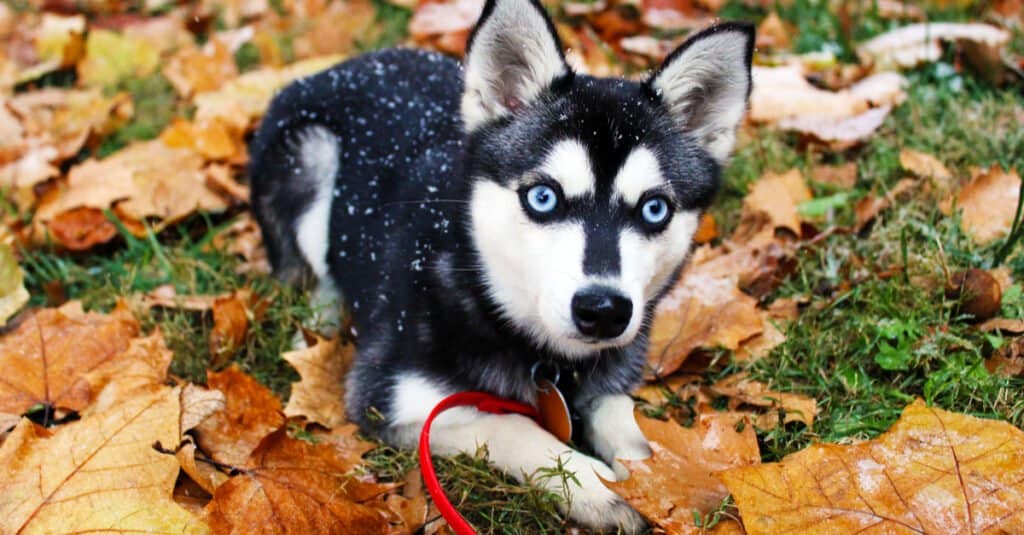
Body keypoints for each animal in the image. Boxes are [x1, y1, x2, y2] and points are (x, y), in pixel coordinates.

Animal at [252, 1, 757, 528]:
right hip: (312, 155)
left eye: (654, 208)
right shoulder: (392, 395)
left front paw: (655, 478)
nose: (603, 310)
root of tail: (340, 65)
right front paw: (594, 485)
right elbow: (512, 425)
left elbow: (626, 423)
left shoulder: (611, 373)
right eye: (544, 197)